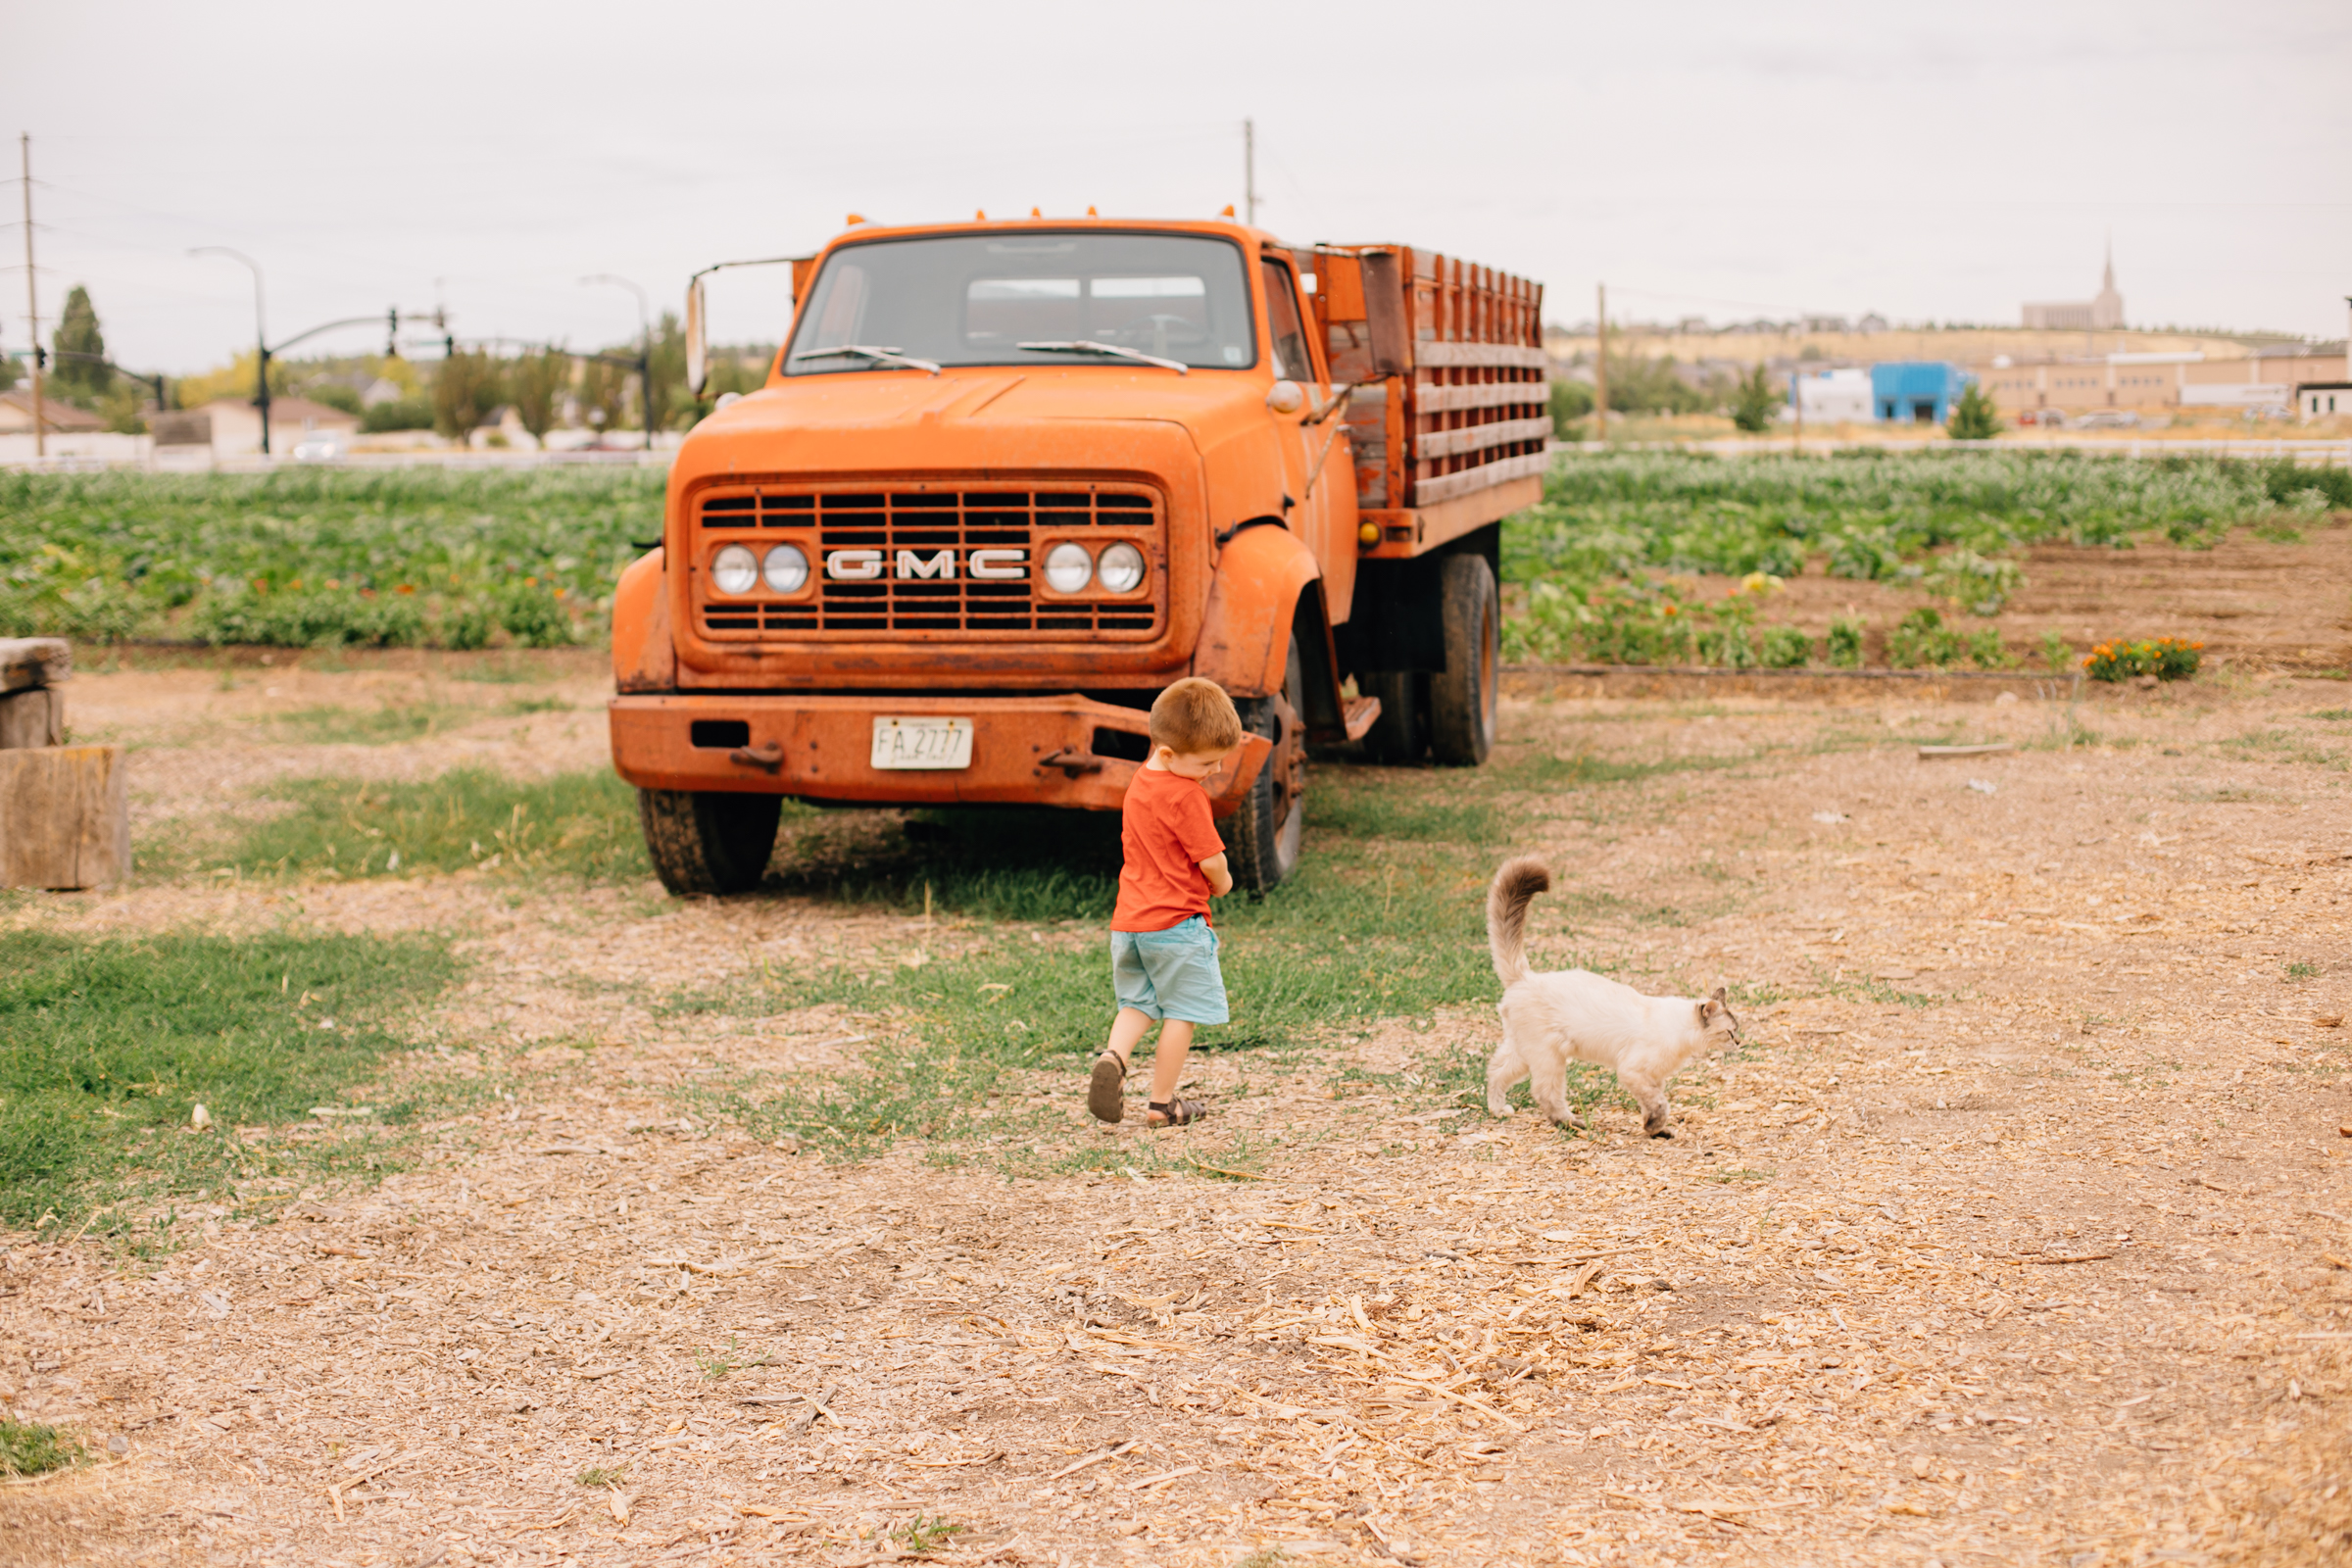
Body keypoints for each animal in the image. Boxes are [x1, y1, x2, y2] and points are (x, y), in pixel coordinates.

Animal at [1486, 859, 1749, 1142]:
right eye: (1730, 1032)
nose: (1739, 1042)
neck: (1682, 1035)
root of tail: (1525, 977)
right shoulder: (1632, 1071)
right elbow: (1661, 1104)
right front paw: (1654, 1127)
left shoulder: (1653, 1078)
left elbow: (1652, 1104)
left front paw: (1656, 1130)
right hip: (1549, 1057)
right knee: (1545, 1093)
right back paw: (1571, 1124)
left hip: (1524, 1053)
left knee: (1495, 1071)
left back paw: (1499, 1110)